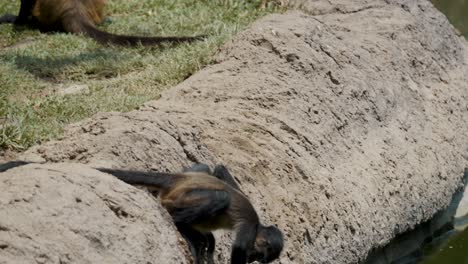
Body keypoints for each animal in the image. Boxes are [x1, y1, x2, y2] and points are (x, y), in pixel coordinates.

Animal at [97, 164, 284, 262]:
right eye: (259, 256)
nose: (253, 259)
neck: (259, 226)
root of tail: (177, 179)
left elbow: (219, 168)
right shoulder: (249, 226)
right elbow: (238, 248)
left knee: (206, 167)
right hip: (180, 198)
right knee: (221, 197)